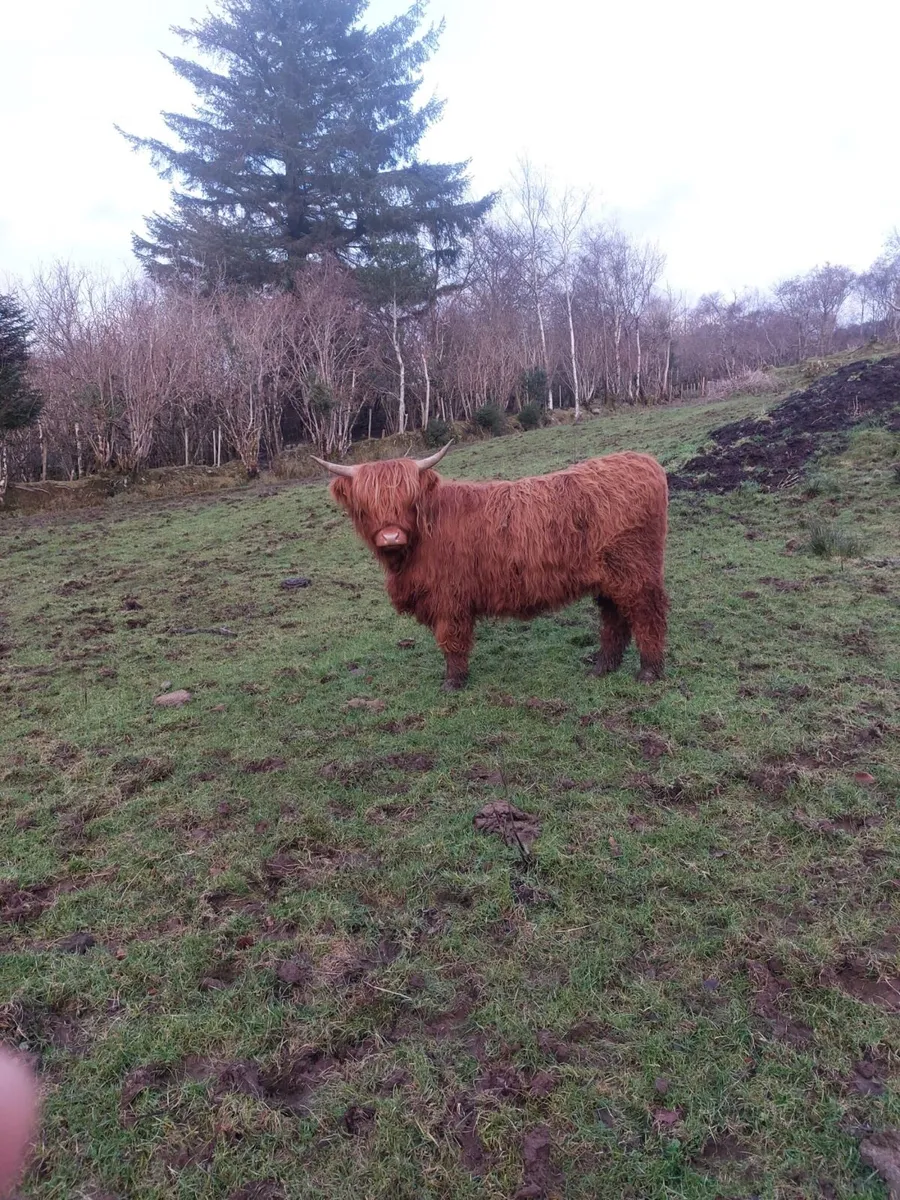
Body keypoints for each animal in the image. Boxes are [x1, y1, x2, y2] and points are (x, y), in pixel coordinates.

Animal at [312, 443, 670, 691]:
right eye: (365, 505)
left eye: (408, 500)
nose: (390, 536)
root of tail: (643, 460)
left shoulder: (449, 598)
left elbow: (452, 640)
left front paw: (453, 682)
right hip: (610, 577)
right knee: (615, 618)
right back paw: (602, 668)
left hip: (636, 571)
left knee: (647, 614)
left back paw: (649, 671)